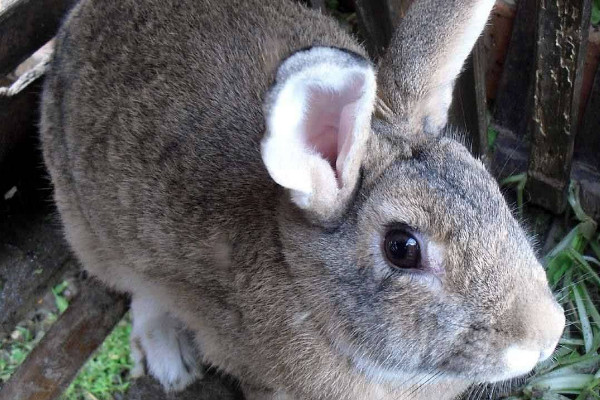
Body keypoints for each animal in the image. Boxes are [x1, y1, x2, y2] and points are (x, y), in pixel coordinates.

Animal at [39, 0, 564, 398]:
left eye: (489, 186)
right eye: (402, 248)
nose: (547, 333)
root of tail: (78, 18)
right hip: (93, 231)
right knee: (139, 290)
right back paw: (171, 362)